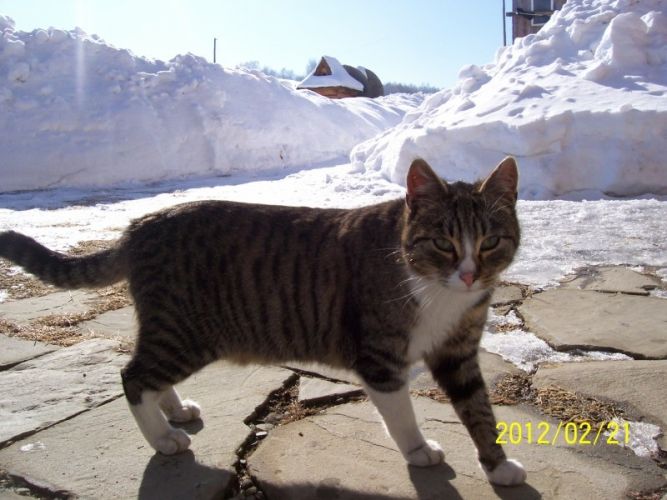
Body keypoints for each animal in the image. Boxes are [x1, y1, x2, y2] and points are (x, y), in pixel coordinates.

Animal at [0, 157, 526, 486]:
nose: (470, 274)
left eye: (490, 242)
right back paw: (164, 438)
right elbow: (401, 414)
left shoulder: (458, 352)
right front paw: (418, 450)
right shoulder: (380, 358)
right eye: (442, 243)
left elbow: (479, 410)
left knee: (146, 372)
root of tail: (139, 225)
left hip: (172, 331)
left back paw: (174, 411)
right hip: (185, 333)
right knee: (132, 375)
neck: (437, 291)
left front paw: (497, 466)